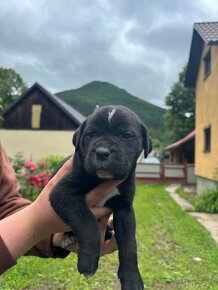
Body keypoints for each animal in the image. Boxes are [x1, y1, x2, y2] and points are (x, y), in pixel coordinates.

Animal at [49, 105, 152, 288]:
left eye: (126, 135)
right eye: (90, 134)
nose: (102, 152)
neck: (105, 179)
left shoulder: (124, 209)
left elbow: (129, 244)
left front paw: (132, 279)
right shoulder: (63, 192)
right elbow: (87, 222)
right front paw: (88, 262)